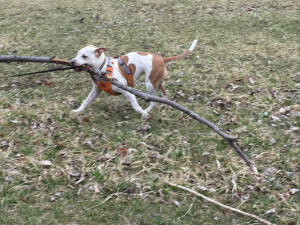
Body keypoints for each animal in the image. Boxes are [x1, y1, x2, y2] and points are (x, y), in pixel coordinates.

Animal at [69, 39, 198, 117]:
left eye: (84, 56)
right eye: (77, 54)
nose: (71, 62)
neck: (104, 67)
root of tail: (162, 58)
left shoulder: (127, 92)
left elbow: (136, 106)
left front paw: (143, 113)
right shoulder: (95, 91)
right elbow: (86, 102)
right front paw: (77, 111)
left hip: (149, 83)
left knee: (153, 100)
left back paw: (147, 111)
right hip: (157, 82)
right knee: (164, 96)